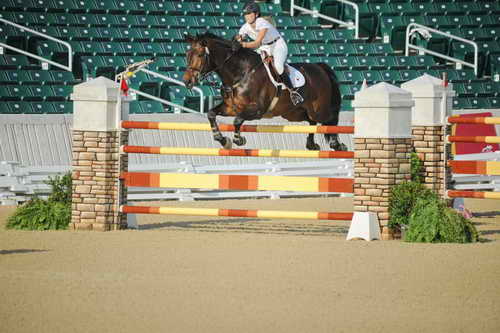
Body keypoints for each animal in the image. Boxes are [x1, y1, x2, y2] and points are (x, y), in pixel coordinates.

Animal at [182, 32, 346, 150]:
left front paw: (238, 139)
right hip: (294, 113)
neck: (239, 73)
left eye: (200, 55)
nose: (187, 81)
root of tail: (319, 67)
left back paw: (337, 144)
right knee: (312, 121)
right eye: (187, 55)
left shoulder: (257, 110)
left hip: (318, 109)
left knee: (330, 119)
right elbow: (211, 114)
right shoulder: (231, 108)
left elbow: (237, 120)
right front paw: (223, 140)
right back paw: (311, 144)